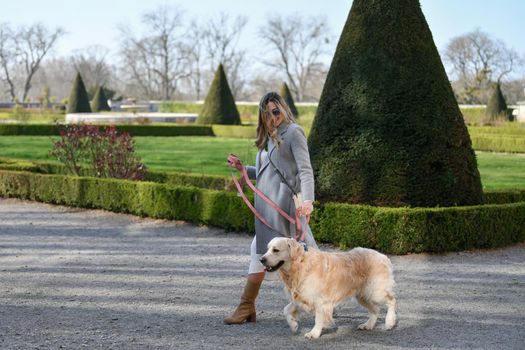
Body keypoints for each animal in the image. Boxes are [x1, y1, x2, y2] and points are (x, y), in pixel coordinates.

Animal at [260, 238, 396, 340]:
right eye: (267, 249)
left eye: (276, 250)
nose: (261, 259)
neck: (299, 265)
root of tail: (383, 256)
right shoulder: (302, 297)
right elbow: (286, 309)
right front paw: (293, 325)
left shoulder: (320, 301)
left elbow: (318, 318)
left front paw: (314, 333)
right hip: (363, 295)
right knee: (376, 309)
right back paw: (368, 325)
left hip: (375, 292)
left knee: (391, 300)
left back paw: (389, 322)